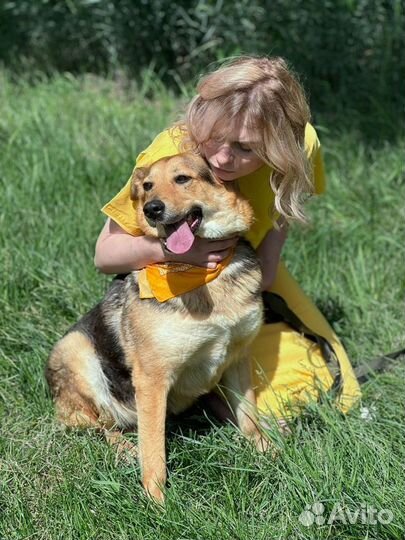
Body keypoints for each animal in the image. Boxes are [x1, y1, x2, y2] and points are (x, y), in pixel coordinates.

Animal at [45, 152, 266, 502]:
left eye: (182, 178)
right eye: (147, 186)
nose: (152, 209)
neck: (201, 275)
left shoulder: (238, 358)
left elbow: (249, 419)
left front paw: (270, 456)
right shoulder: (152, 378)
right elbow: (153, 453)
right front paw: (157, 501)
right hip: (75, 350)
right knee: (104, 423)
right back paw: (124, 450)